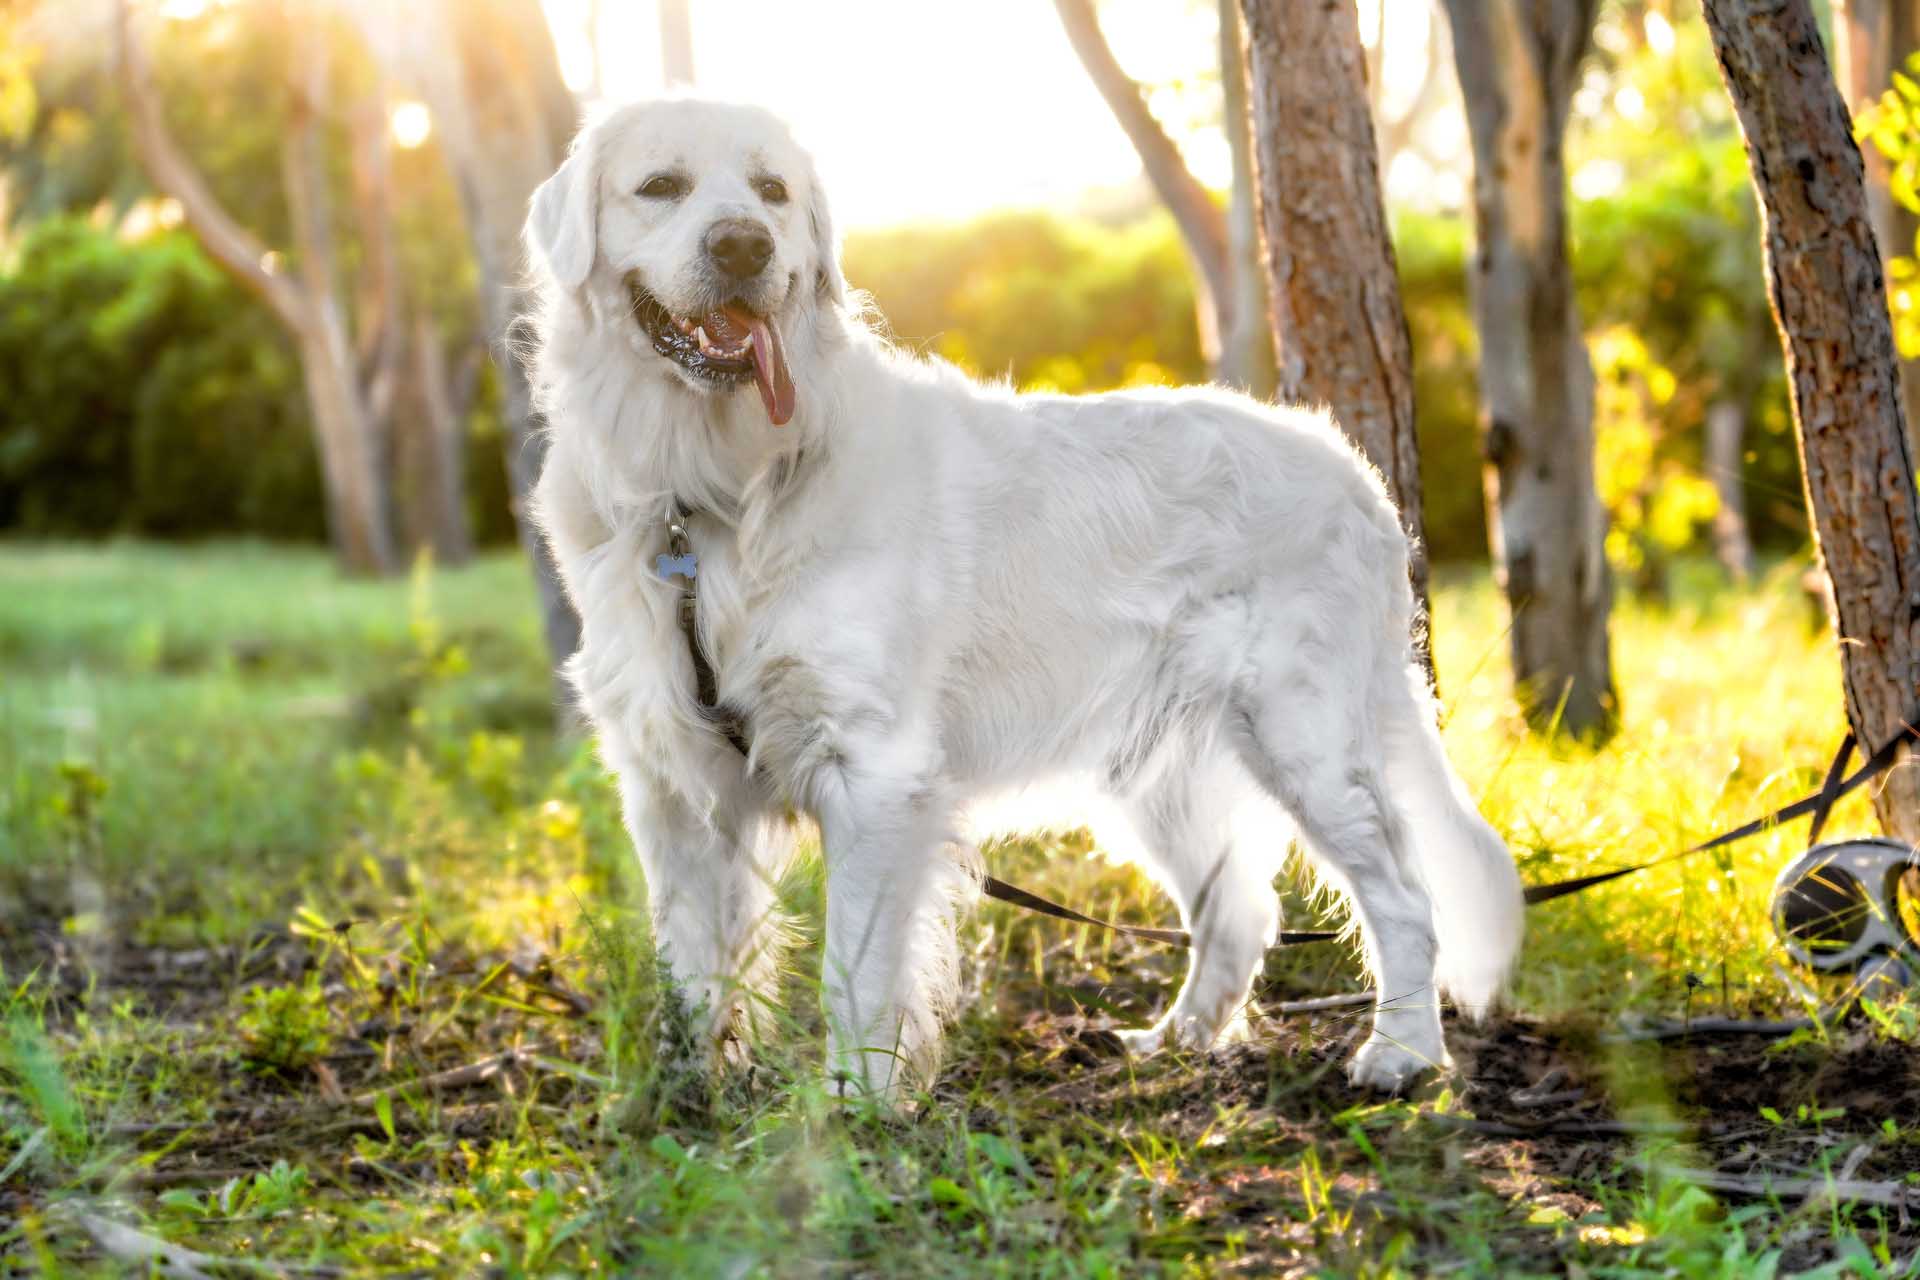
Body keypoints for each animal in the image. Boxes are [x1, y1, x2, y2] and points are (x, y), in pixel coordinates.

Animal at [518, 97, 1520, 1105]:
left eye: (772, 191)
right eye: (661, 186)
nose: (742, 246)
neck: (708, 493)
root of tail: (1358, 476)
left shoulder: (872, 770)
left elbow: (857, 968)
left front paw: (855, 1107)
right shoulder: (670, 783)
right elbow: (694, 966)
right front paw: (695, 1095)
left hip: (1304, 736)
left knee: (1404, 894)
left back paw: (1400, 1053)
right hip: (1162, 777)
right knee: (1238, 908)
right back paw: (1179, 1042)